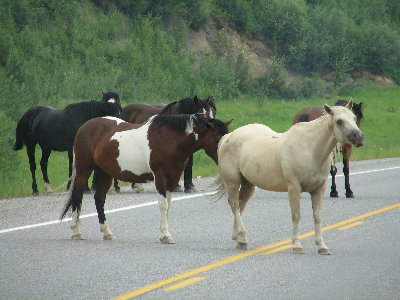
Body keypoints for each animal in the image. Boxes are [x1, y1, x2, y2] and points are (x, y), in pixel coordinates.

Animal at [59, 115, 231, 244]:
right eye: (217, 139)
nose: (225, 161)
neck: (170, 140)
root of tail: (85, 127)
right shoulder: (160, 177)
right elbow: (163, 205)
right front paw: (165, 236)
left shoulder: (173, 179)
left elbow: (168, 206)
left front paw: (164, 232)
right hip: (83, 170)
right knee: (77, 197)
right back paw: (76, 232)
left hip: (105, 173)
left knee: (99, 199)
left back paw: (107, 232)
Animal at [217, 102, 364, 254]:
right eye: (339, 121)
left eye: (354, 117)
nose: (359, 137)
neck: (310, 149)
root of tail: (228, 136)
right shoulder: (294, 187)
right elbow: (296, 215)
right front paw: (296, 245)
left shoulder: (319, 189)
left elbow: (317, 216)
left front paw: (321, 245)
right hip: (233, 182)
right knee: (235, 206)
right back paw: (243, 238)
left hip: (248, 184)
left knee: (240, 206)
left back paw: (238, 239)